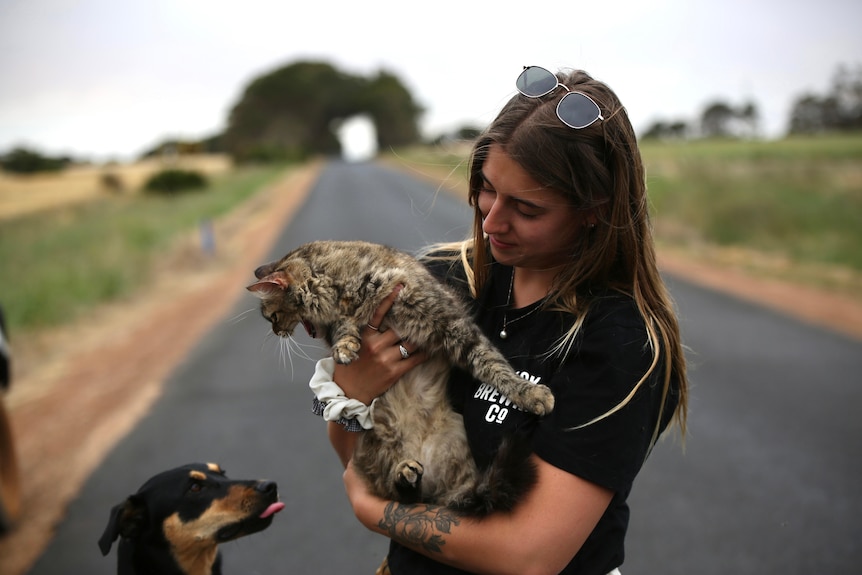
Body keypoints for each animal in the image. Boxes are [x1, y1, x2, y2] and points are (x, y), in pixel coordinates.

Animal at [246, 241, 556, 516]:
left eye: (272, 317)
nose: (277, 332)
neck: (347, 290)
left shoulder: (451, 324)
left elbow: (493, 363)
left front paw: (530, 393)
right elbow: (343, 328)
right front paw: (345, 346)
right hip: (375, 446)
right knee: (401, 495)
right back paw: (406, 475)